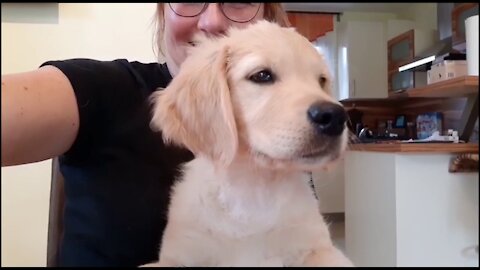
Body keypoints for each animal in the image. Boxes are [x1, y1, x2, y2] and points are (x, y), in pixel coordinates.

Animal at [146, 20, 352, 266]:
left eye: (321, 80)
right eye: (262, 75)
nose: (336, 117)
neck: (254, 188)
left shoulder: (318, 248)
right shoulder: (178, 254)